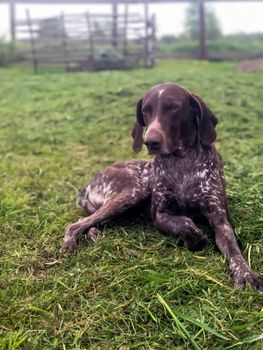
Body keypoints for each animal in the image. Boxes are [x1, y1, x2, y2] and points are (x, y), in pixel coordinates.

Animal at [62, 83, 263, 292]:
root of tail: (90, 182)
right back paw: (70, 245)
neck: (182, 162)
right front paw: (194, 238)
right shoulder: (159, 215)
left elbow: (233, 249)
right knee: (75, 224)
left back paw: (94, 234)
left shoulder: (220, 218)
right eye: (145, 111)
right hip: (132, 192)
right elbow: (184, 223)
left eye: (173, 107)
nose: (150, 141)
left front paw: (246, 274)